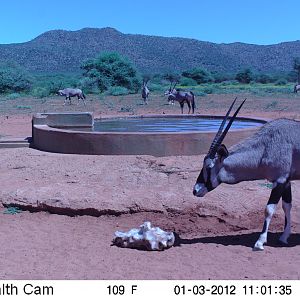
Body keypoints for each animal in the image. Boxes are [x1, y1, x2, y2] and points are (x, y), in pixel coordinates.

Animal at [193, 99, 298, 251]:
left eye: (209, 166)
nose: (195, 190)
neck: (265, 147)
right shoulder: (286, 181)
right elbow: (287, 206)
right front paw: (284, 237)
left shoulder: (280, 180)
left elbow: (269, 209)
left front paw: (260, 242)